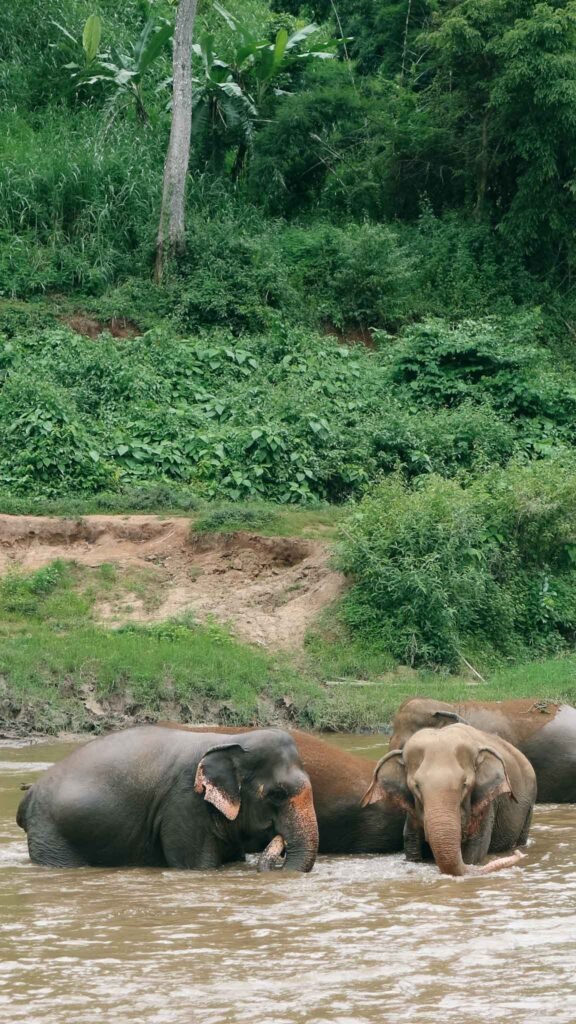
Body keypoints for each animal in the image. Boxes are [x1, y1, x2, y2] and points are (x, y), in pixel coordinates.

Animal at [16, 726, 319, 872]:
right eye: (277, 794)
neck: (230, 740)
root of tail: (28, 795)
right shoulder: (184, 803)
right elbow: (196, 866)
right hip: (52, 836)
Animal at [362, 723, 537, 876]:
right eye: (416, 786)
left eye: (465, 784)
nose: (517, 855)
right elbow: (410, 839)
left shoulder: (487, 804)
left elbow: (476, 847)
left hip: (529, 804)